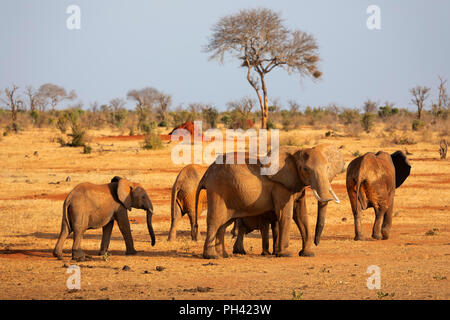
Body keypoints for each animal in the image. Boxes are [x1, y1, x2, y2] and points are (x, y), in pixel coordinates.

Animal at [194, 144, 344, 258]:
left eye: (328, 168)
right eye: (306, 169)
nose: (317, 242)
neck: (295, 152)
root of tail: (207, 173)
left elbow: (301, 216)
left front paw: (307, 254)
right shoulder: (280, 186)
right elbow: (286, 214)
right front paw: (285, 254)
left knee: (223, 224)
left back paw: (223, 255)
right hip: (217, 190)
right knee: (215, 220)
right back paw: (211, 256)